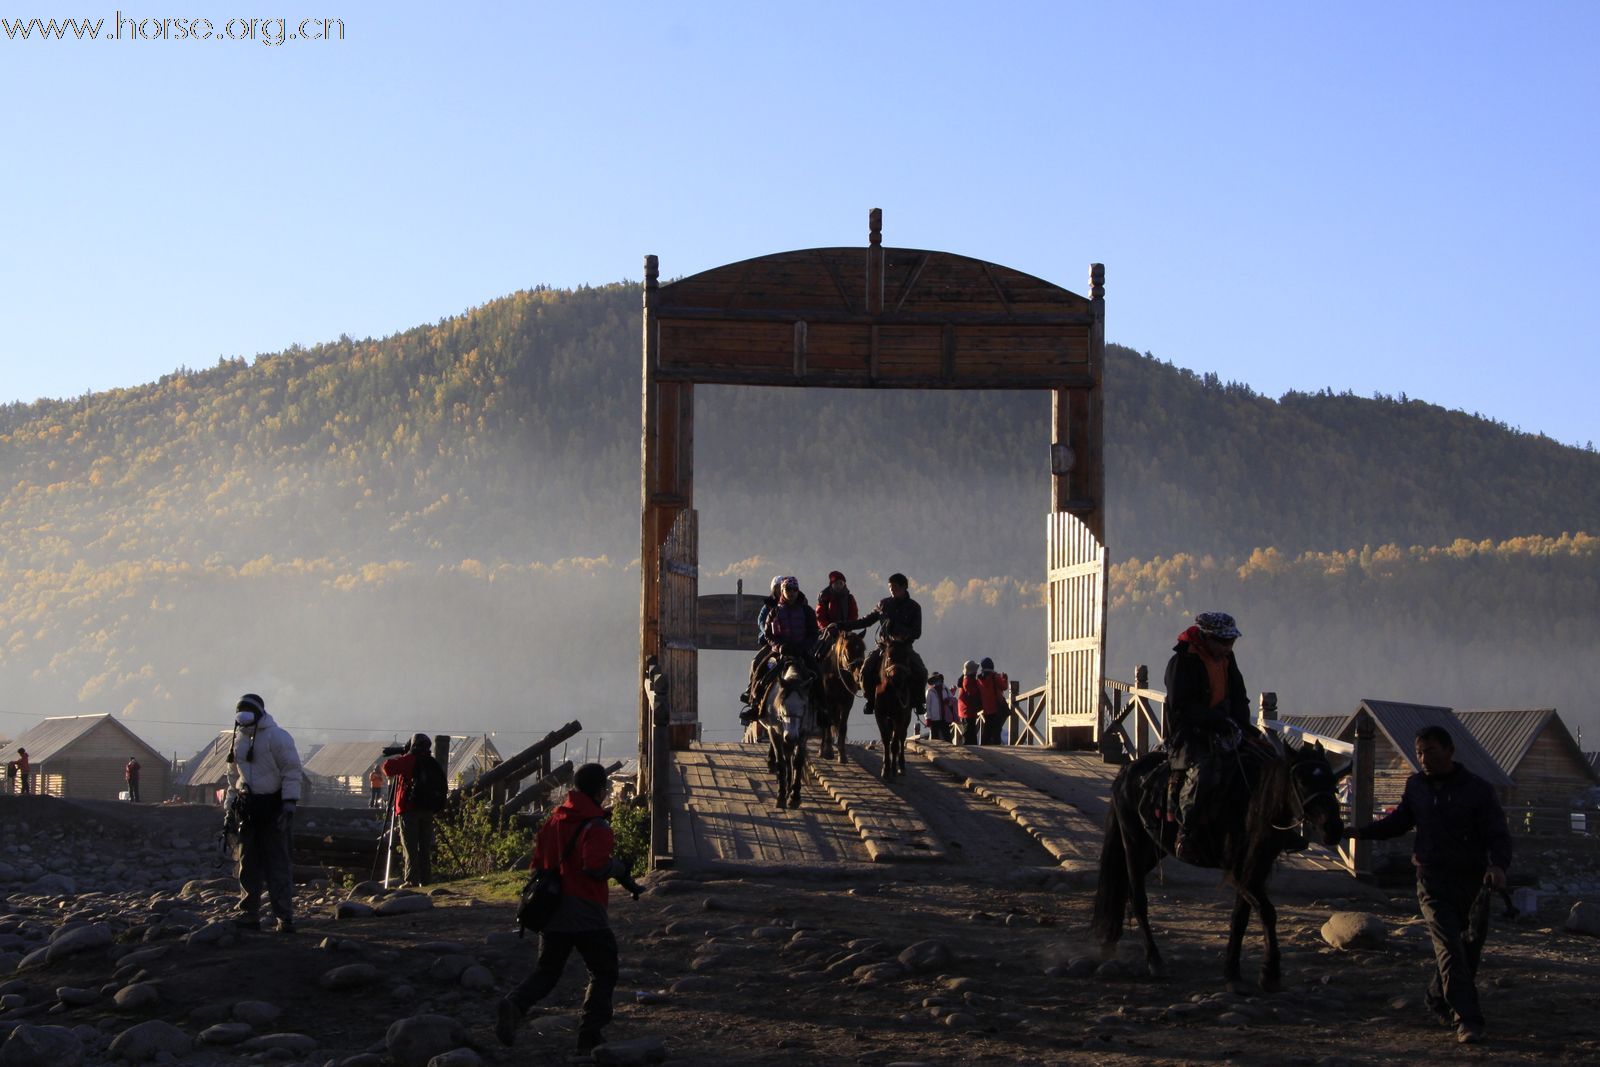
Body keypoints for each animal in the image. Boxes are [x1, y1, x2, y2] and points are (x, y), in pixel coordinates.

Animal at [755, 652, 819, 809]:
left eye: (804, 705)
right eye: (782, 703)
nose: (790, 736)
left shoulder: (803, 734)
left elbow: (797, 761)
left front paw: (794, 796)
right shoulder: (774, 731)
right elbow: (781, 762)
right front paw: (781, 796)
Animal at [819, 627, 870, 767]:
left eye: (862, 650)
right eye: (847, 651)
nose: (858, 676)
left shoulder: (847, 703)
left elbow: (842, 726)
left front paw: (842, 755)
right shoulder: (828, 702)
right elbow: (828, 723)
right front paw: (829, 752)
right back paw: (821, 750)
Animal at [870, 633, 921, 783]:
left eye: (906, 657)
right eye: (889, 657)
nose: (898, 678)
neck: (891, 690)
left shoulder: (900, 715)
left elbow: (895, 742)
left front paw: (891, 769)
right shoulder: (880, 714)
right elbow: (886, 739)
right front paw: (885, 769)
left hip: (906, 716)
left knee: (901, 738)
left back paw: (901, 767)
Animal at [1088, 735, 1350, 991]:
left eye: (1331, 780)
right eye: (1302, 781)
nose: (1333, 829)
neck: (1253, 803)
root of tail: (1127, 771)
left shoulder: (1257, 866)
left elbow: (1241, 916)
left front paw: (1232, 971)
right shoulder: (1236, 870)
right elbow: (1266, 911)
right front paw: (1269, 972)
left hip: (1154, 849)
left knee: (1124, 887)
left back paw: (1110, 940)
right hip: (1133, 841)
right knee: (1138, 898)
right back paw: (1154, 960)